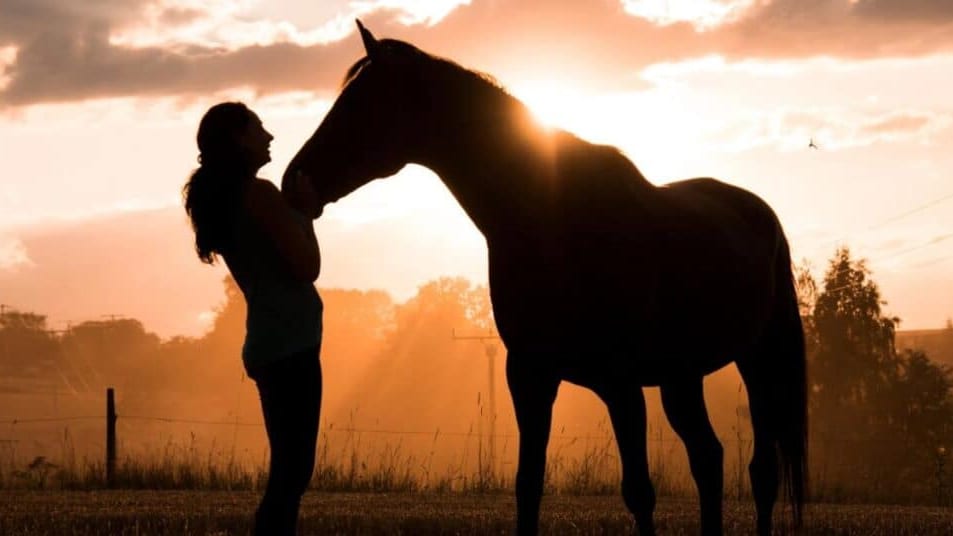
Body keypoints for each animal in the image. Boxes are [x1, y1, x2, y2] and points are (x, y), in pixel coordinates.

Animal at [284, 21, 807, 536]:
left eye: (359, 105)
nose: (294, 181)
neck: (554, 220)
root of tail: (757, 211)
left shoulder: (620, 383)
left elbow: (639, 492)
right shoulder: (529, 375)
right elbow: (528, 485)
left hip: (759, 361)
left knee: (760, 472)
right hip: (682, 376)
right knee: (708, 457)